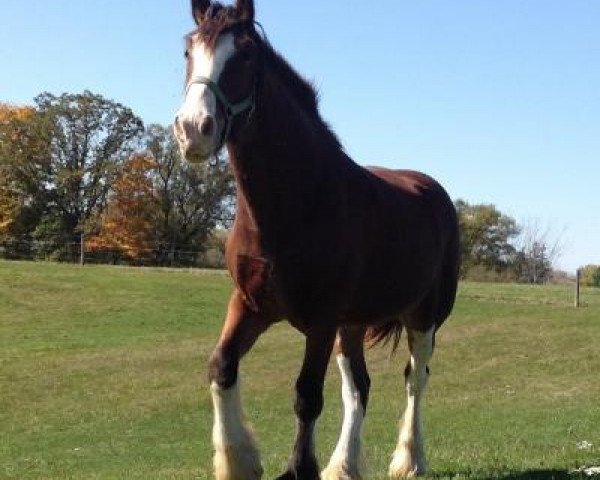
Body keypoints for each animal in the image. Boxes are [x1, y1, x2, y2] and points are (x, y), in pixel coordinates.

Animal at [173, 1, 460, 478]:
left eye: (245, 55)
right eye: (188, 51)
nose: (193, 129)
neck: (293, 201)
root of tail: (431, 190)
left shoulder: (322, 320)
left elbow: (307, 396)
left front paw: (298, 468)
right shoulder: (250, 305)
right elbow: (221, 367)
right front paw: (239, 460)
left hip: (423, 317)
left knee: (415, 380)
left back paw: (410, 459)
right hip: (353, 324)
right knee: (359, 387)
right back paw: (343, 464)